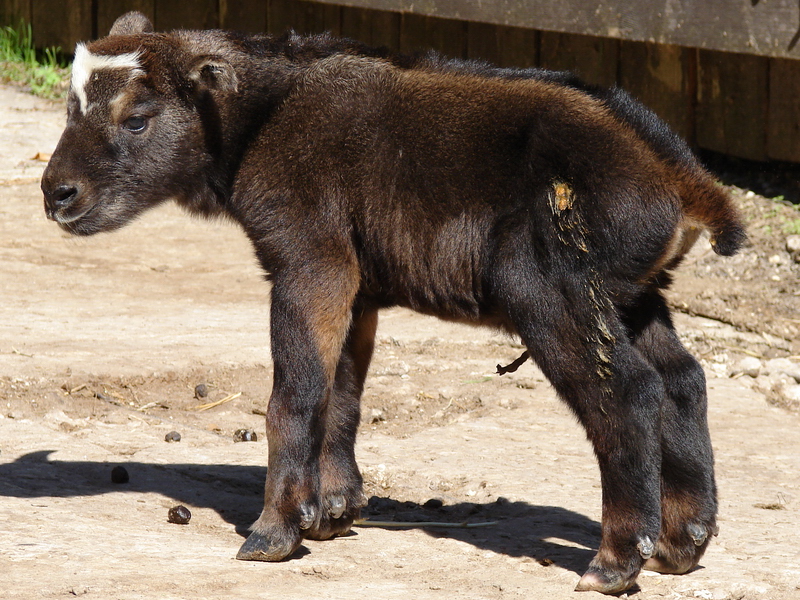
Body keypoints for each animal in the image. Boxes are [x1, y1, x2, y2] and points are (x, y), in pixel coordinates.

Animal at [41, 12, 745, 594]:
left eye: (137, 117)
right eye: (72, 109)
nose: (57, 193)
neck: (264, 116)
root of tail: (682, 177)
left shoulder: (309, 258)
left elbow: (295, 392)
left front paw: (273, 533)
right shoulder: (359, 287)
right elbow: (341, 394)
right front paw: (330, 513)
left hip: (548, 291)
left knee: (628, 394)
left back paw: (615, 562)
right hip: (633, 297)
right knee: (682, 380)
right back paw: (682, 544)